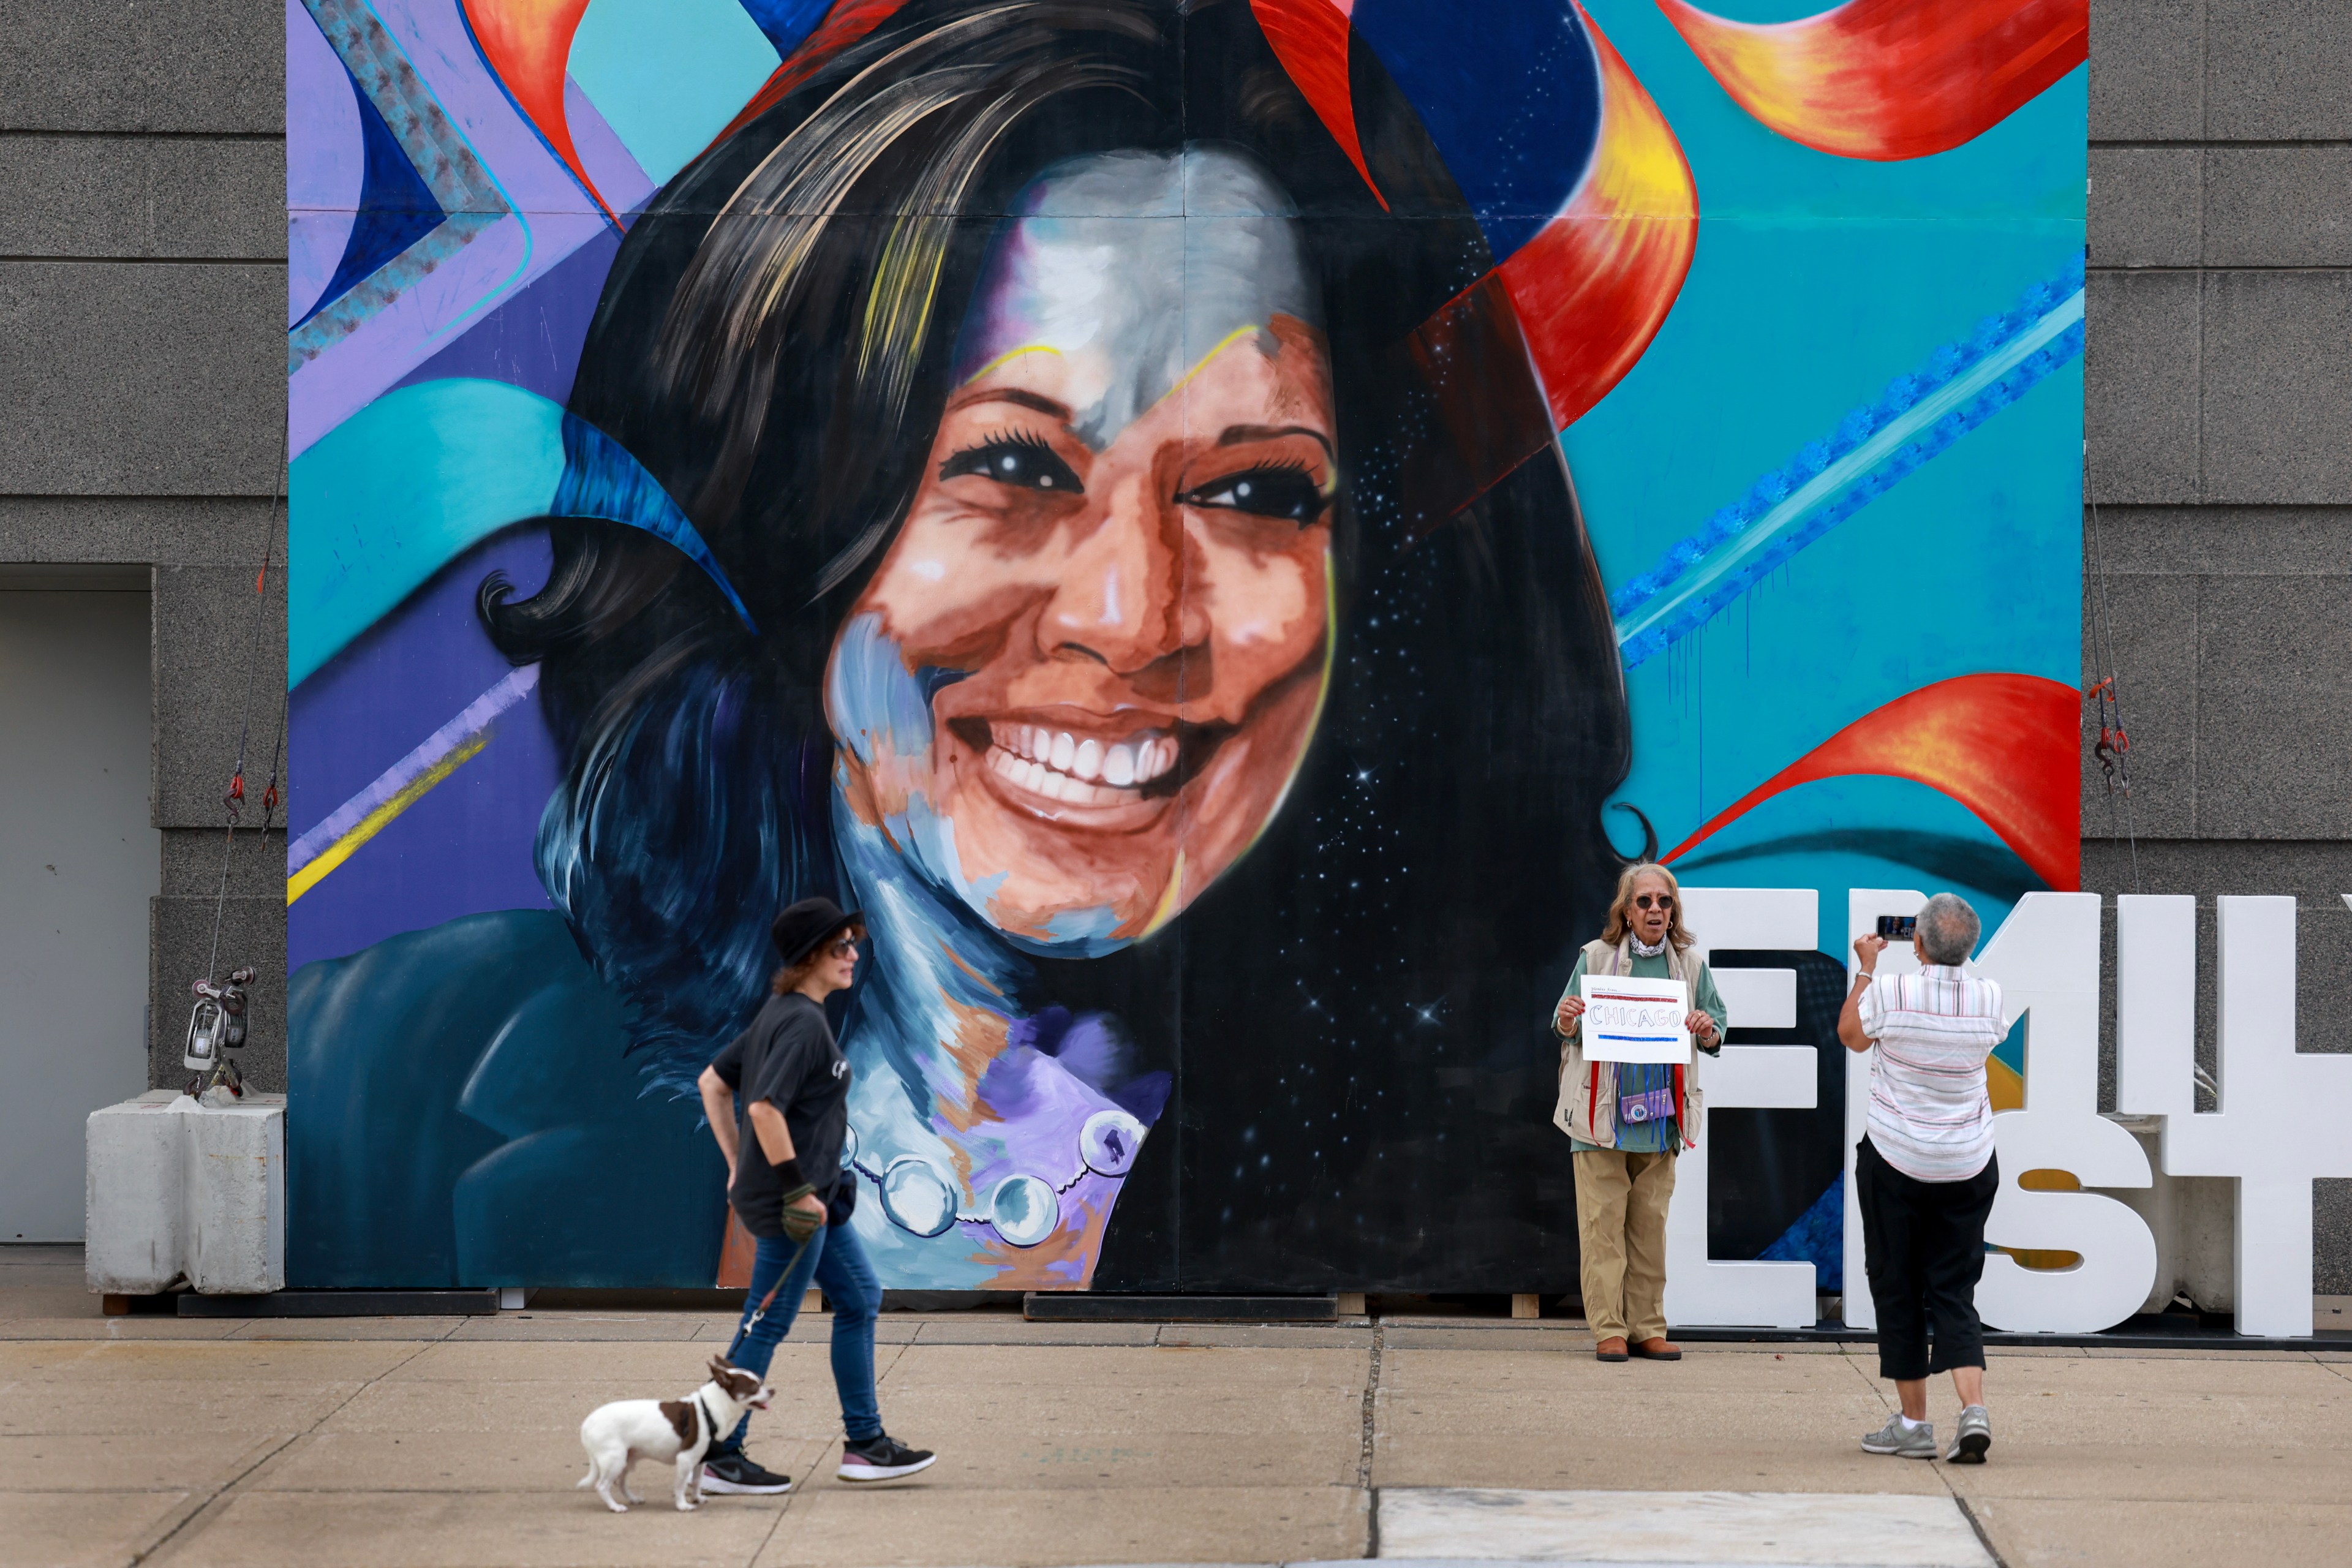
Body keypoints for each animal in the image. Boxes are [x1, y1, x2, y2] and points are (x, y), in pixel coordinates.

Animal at [576, 1354, 771, 1513]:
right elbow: (680, 1485)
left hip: (627, 1460)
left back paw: (633, 1499)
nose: (772, 1390)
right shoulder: (686, 1459)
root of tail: (587, 1424)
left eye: (761, 1382)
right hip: (615, 1459)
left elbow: (697, 1481)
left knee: (621, 1482)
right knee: (602, 1485)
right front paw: (682, 1505)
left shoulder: (700, 1460)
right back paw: (615, 1507)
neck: (711, 1409)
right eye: (754, 1388)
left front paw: (697, 1498)